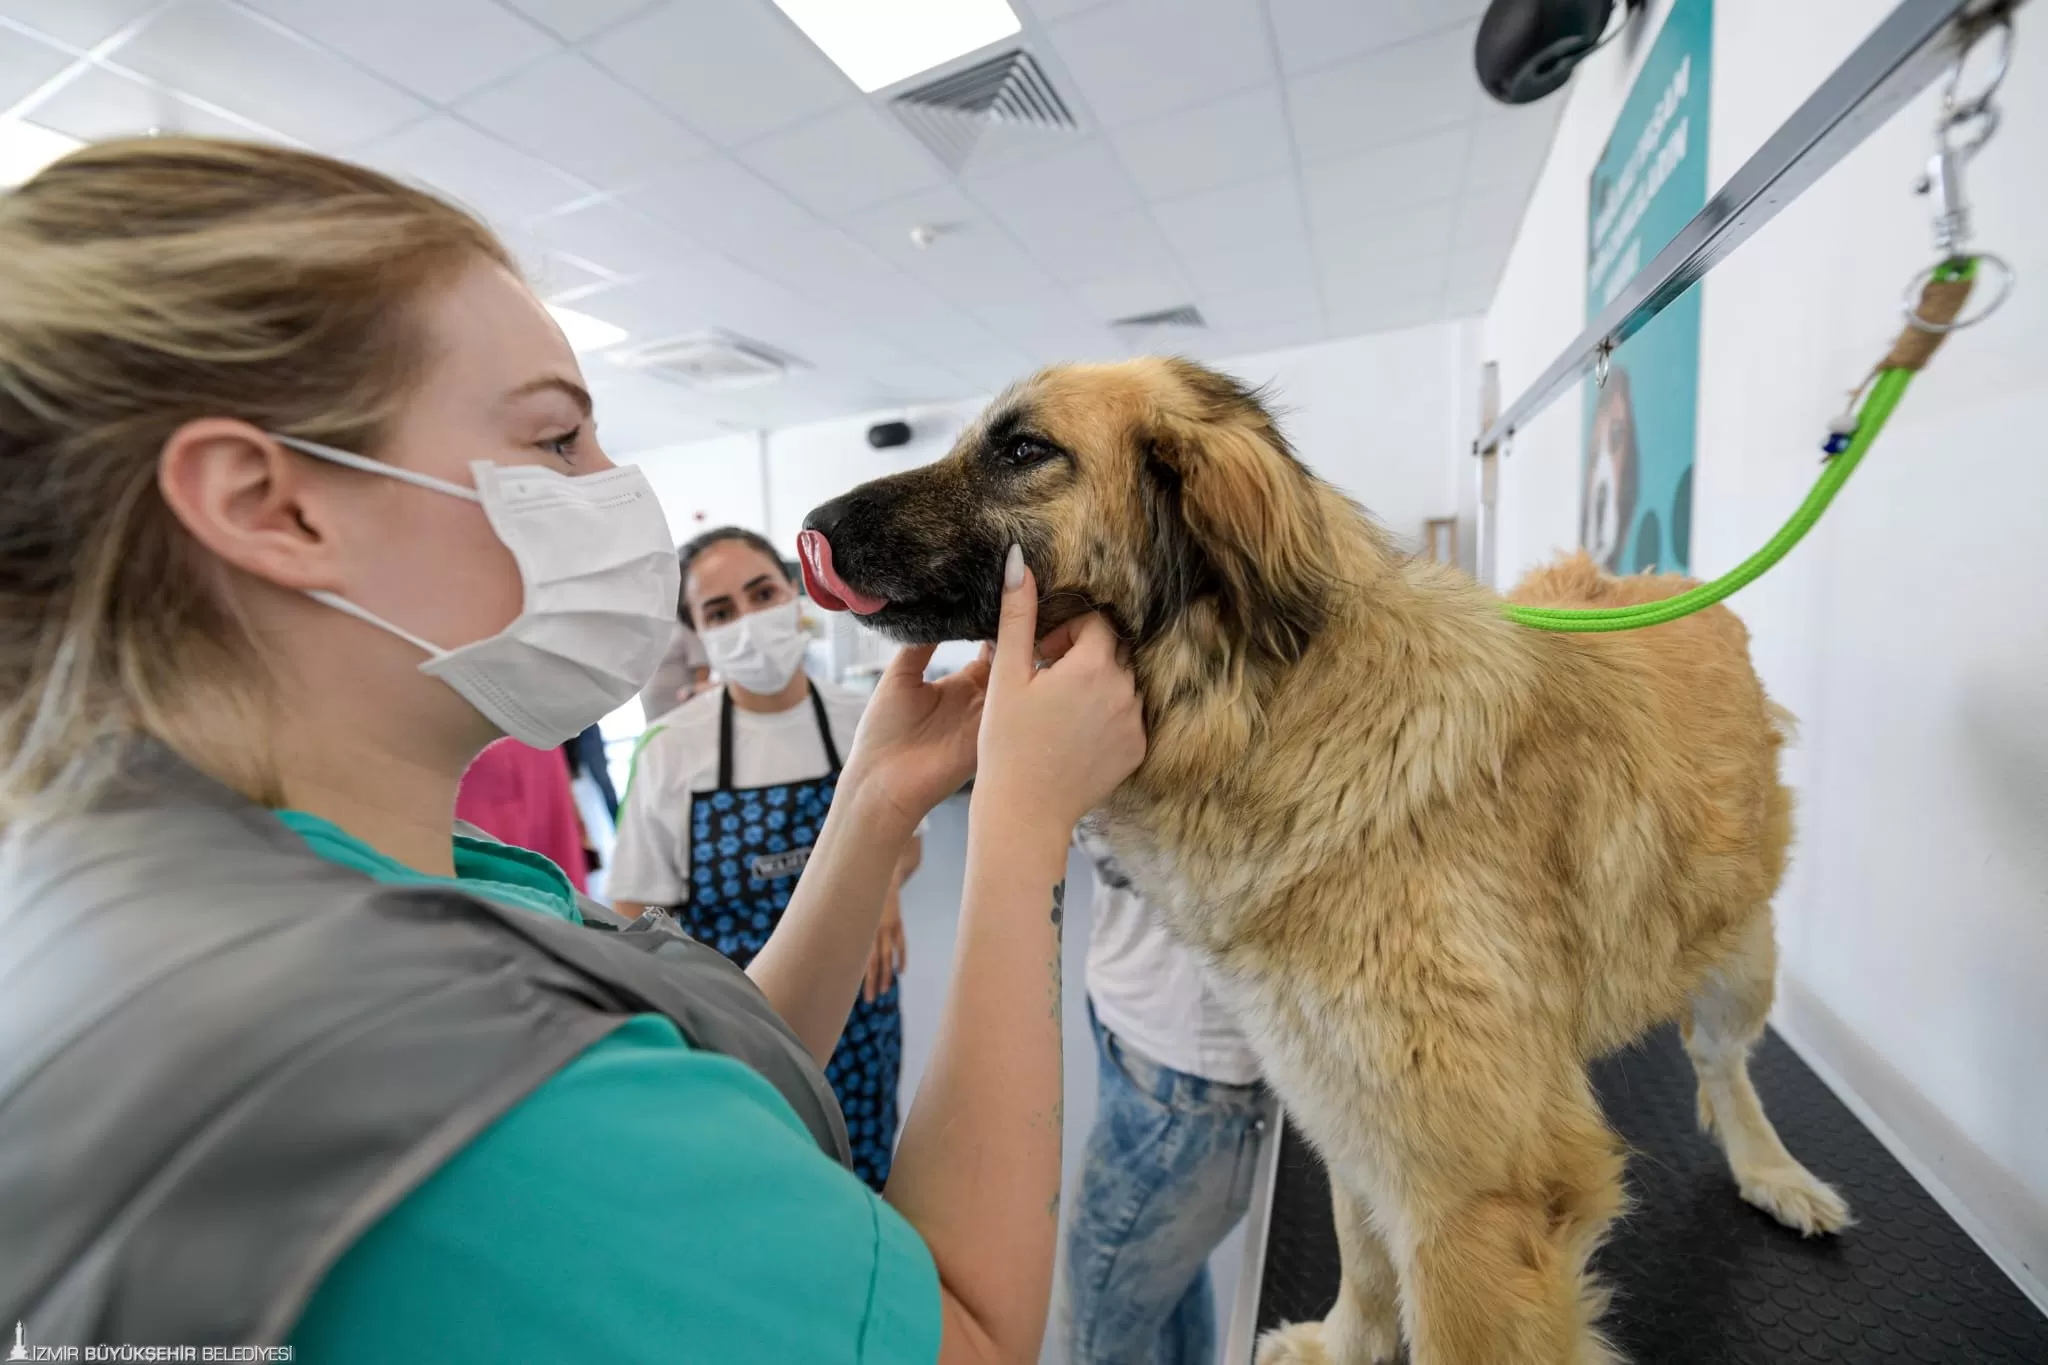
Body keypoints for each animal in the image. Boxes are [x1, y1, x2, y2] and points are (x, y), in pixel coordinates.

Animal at [802, 358, 1859, 1358]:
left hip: (1737, 956)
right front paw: (1344, 1343)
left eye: (1024, 450)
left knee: (1724, 1067)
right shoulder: (1340, 1097)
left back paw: (1772, 1171)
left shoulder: (1479, 1195)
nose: (810, 525)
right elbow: (1362, 1250)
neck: (1263, 710)